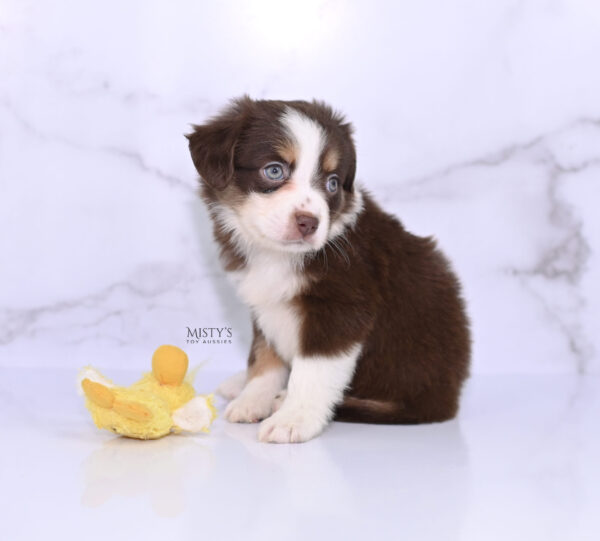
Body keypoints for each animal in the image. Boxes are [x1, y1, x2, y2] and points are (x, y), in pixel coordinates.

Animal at [185, 97, 472, 442]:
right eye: (274, 170)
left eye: (333, 183)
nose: (309, 223)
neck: (279, 255)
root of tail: (450, 397)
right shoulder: (264, 303)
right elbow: (263, 356)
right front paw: (253, 398)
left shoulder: (342, 308)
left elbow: (312, 370)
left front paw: (292, 419)